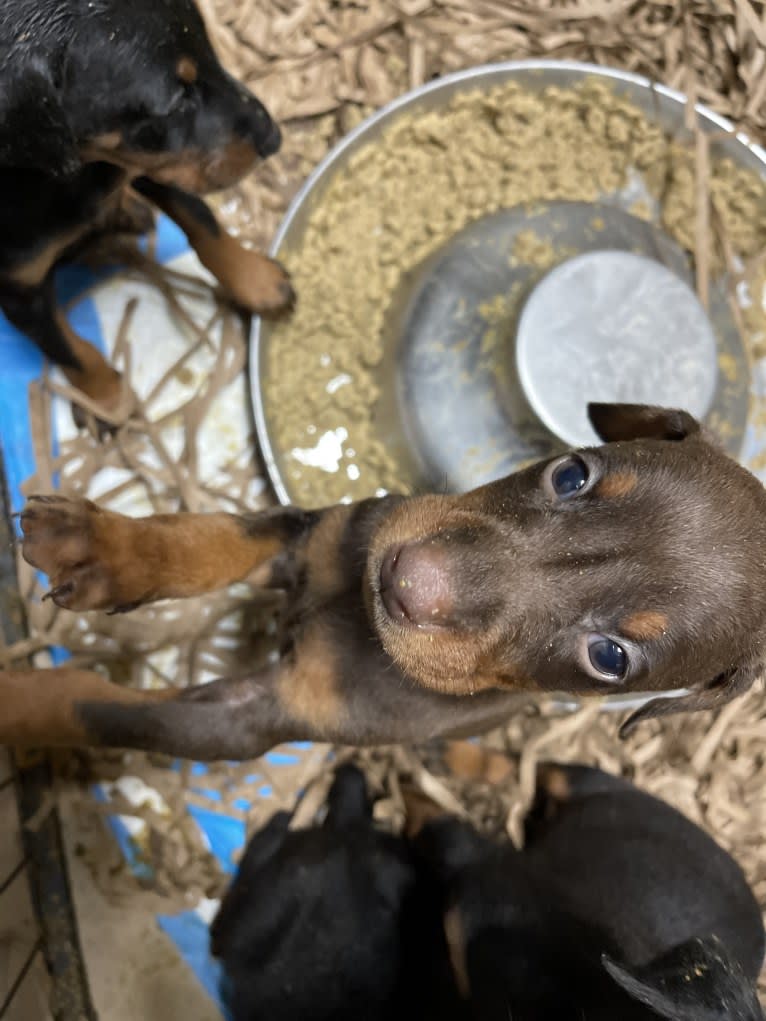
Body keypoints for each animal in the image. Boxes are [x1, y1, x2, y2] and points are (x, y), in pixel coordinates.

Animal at [0, 0, 294, 418]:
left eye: (210, 50)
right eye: (174, 103)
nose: (273, 137)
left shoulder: (153, 162)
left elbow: (202, 219)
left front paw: (257, 279)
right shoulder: (18, 289)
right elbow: (67, 349)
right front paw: (110, 400)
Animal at [4, 402, 766, 763]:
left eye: (610, 657)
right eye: (571, 473)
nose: (405, 578)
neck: (357, 619)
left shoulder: (246, 719)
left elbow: (94, 710)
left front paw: (21, 703)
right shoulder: (315, 537)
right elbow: (210, 539)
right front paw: (102, 548)